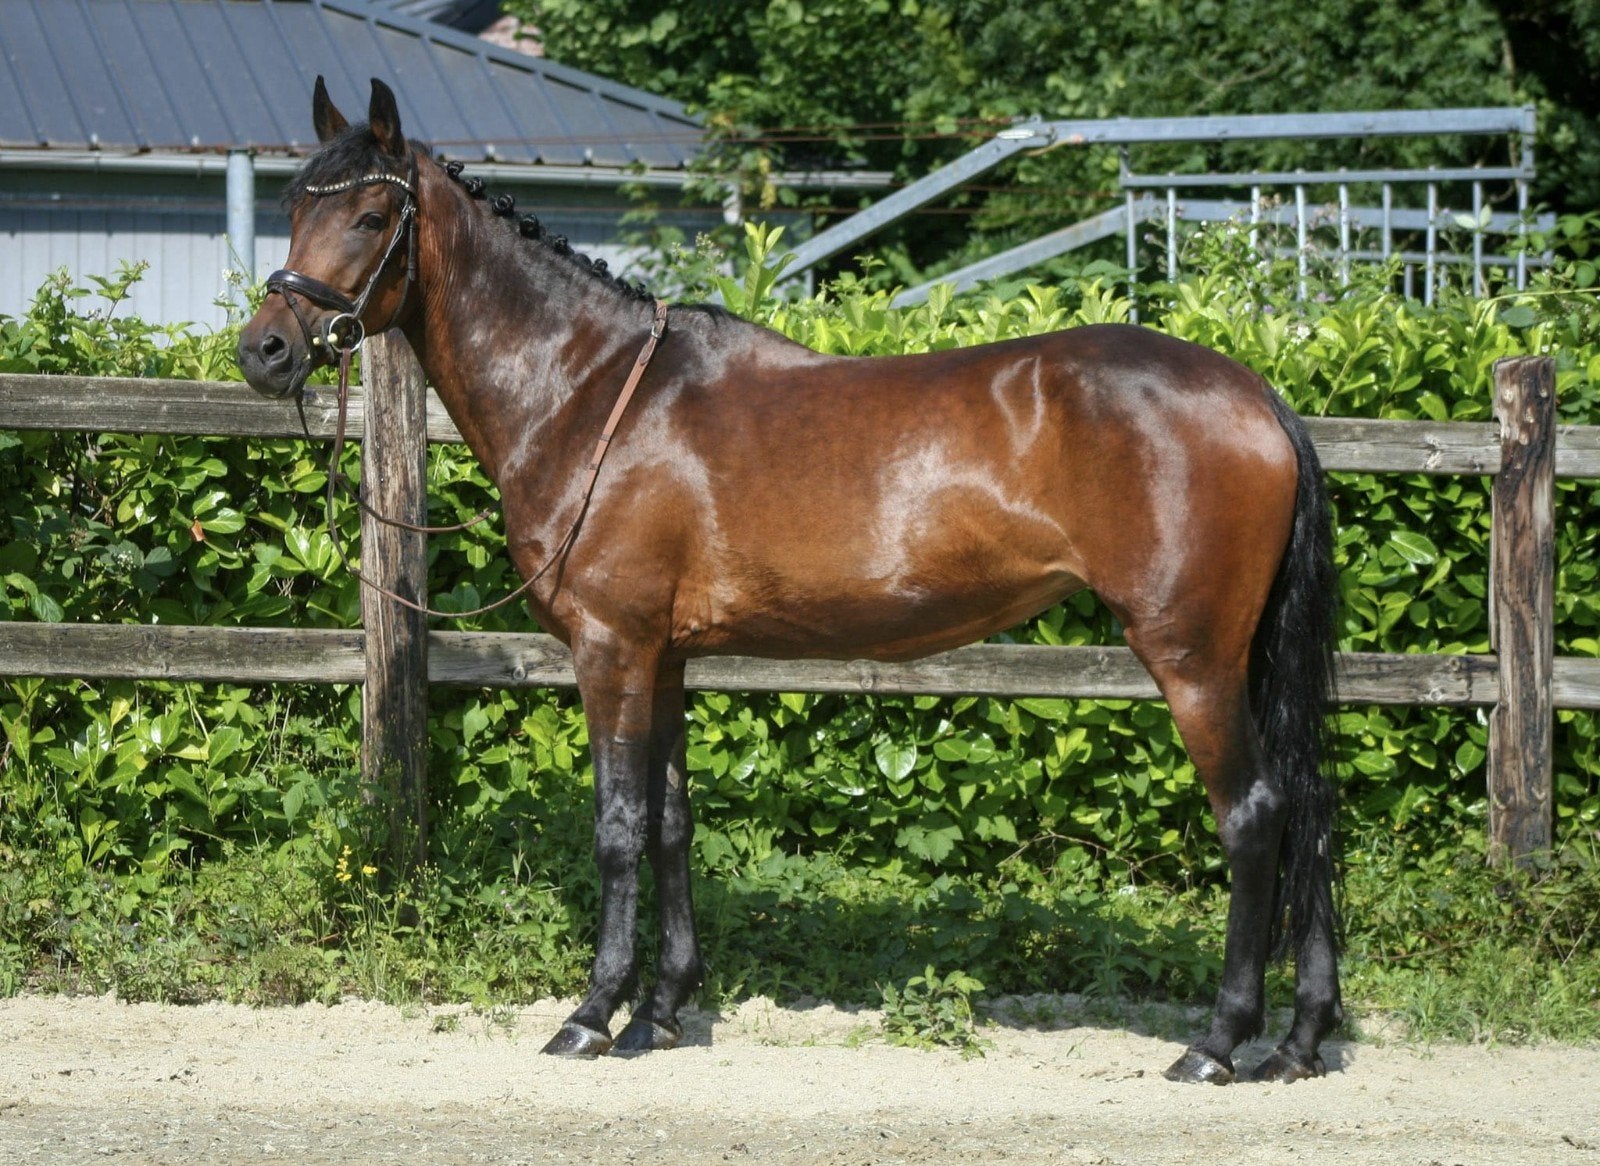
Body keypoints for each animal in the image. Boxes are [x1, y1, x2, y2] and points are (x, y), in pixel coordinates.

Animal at [237, 78, 1342, 1085]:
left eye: (370, 214)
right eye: (293, 204)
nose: (265, 350)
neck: (591, 393)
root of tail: (1256, 397)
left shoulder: (611, 648)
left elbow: (618, 828)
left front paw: (592, 1015)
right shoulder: (665, 657)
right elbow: (672, 823)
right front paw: (660, 1013)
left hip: (1191, 654)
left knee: (1254, 816)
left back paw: (1217, 1042)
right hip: (1237, 658)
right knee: (1303, 809)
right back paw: (1297, 1041)